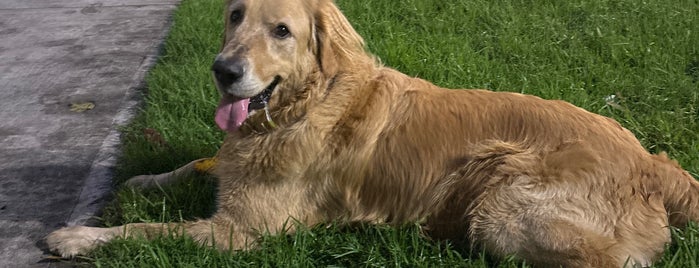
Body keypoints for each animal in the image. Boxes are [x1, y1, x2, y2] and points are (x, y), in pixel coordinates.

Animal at [45, 0, 699, 266]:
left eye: (281, 31)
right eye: (235, 17)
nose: (223, 70)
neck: (304, 104)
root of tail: (653, 162)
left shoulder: (241, 232)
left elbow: (147, 231)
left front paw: (77, 237)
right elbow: (191, 165)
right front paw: (141, 179)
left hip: (501, 205)